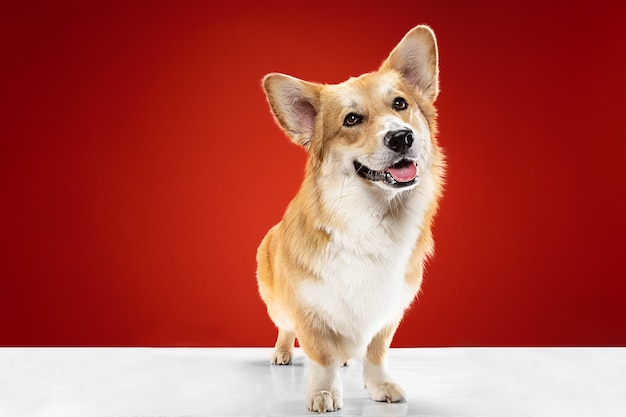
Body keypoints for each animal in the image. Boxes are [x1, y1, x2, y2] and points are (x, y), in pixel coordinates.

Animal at [255, 26, 444, 412]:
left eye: (400, 104)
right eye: (352, 119)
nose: (401, 137)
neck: (371, 219)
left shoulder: (388, 313)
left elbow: (375, 352)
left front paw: (380, 385)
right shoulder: (308, 309)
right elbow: (322, 356)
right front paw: (324, 393)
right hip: (276, 304)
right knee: (285, 329)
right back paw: (282, 353)